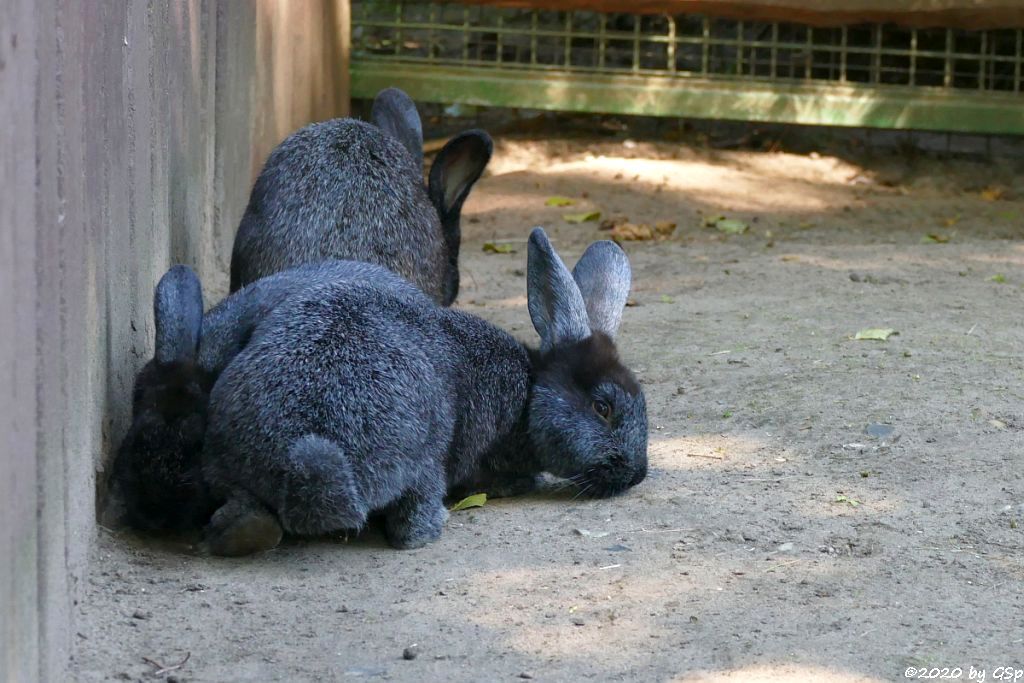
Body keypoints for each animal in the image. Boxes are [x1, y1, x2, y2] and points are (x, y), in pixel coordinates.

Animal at [199, 227, 647, 557]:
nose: (637, 473)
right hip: (426, 451)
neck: (527, 396)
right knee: (411, 526)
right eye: (602, 407)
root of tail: (292, 454)